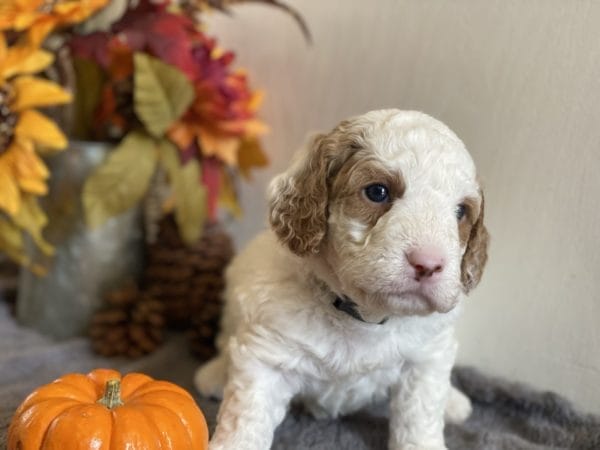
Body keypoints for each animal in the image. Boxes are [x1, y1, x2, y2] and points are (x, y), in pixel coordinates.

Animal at [195, 110, 490, 450]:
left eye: (461, 212)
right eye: (378, 191)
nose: (428, 264)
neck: (361, 317)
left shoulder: (426, 359)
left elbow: (421, 416)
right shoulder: (267, 355)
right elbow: (245, 419)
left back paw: (454, 402)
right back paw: (214, 375)